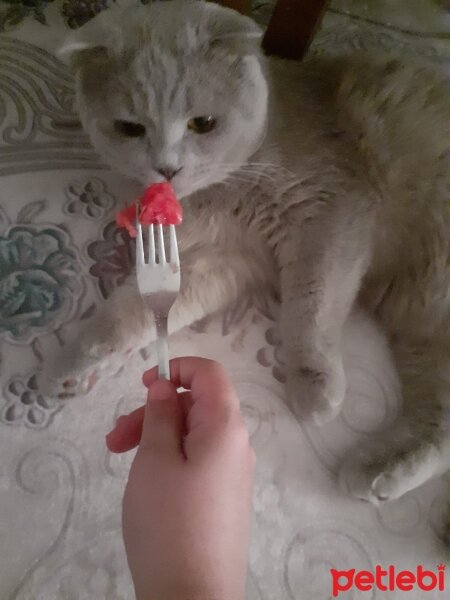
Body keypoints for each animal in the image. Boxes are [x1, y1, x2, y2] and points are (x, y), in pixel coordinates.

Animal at [46, 1, 450, 506]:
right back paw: (379, 473)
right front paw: (78, 364)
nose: (167, 167)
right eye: (130, 128)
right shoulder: (222, 259)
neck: (225, 191)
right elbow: (132, 314)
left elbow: (310, 305)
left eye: (203, 123)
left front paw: (313, 386)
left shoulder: (332, 212)